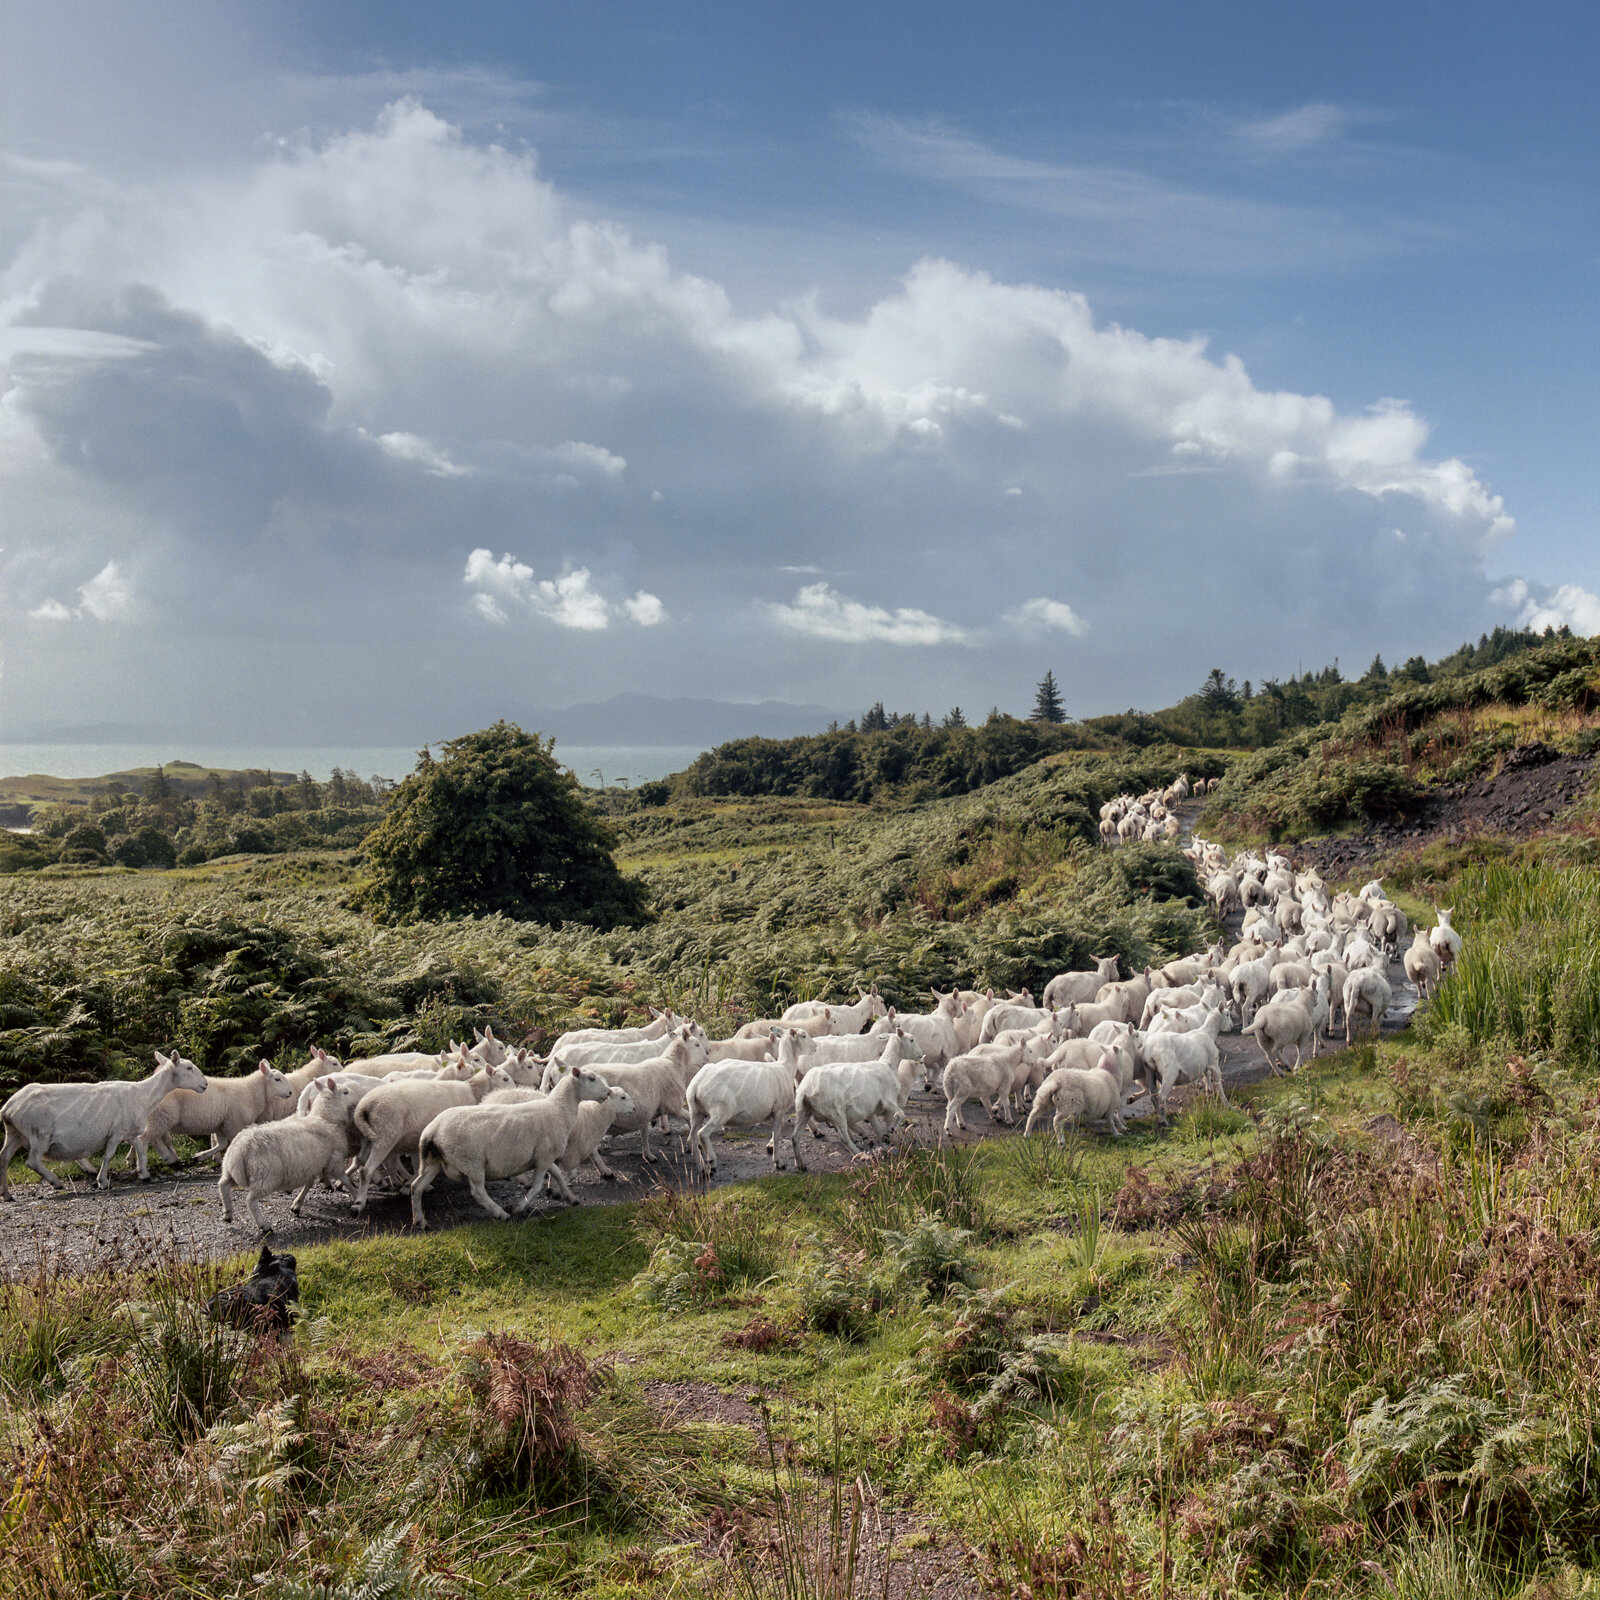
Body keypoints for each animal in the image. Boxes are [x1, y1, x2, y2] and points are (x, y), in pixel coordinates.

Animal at [142, 1056, 296, 1171]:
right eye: (277, 1079)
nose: (290, 1093)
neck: (252, 1091)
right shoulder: (234, 1124)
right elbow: (232, 1143)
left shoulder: (222, 1124)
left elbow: (221, 1144)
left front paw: (200, 1156)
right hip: (161, 1116)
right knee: (150, 1138)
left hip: (159, 1117)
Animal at [219, 1075, 363, 1235]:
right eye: (345, 1092)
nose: (358, 1100)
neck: (327, 1119)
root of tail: (239, 1150)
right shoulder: (334, 1162)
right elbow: (345, 1180)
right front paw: (356, 1196)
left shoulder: (312, 1165)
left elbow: (308, 1184)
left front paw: (297, 1205)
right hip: (265, 1177)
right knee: (250, 1201)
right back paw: (264, 1226)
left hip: (231, 1171)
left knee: (223, 1185)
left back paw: (227, 1214)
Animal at [412, 1062, 611, 1222]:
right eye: (592, 1078)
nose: (608, 1092)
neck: (559, 1108)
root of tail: (432, 1130)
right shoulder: (544, 1157)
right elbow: (538, 1185)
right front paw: (517, 1207)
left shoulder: (544, 1157)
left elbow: (557, 1174)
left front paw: (570, 1197)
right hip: (472, 1162)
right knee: (478, 1192)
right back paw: (501, 1213)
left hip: (435, 1160)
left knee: (416, 1187)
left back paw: (420, 1221)